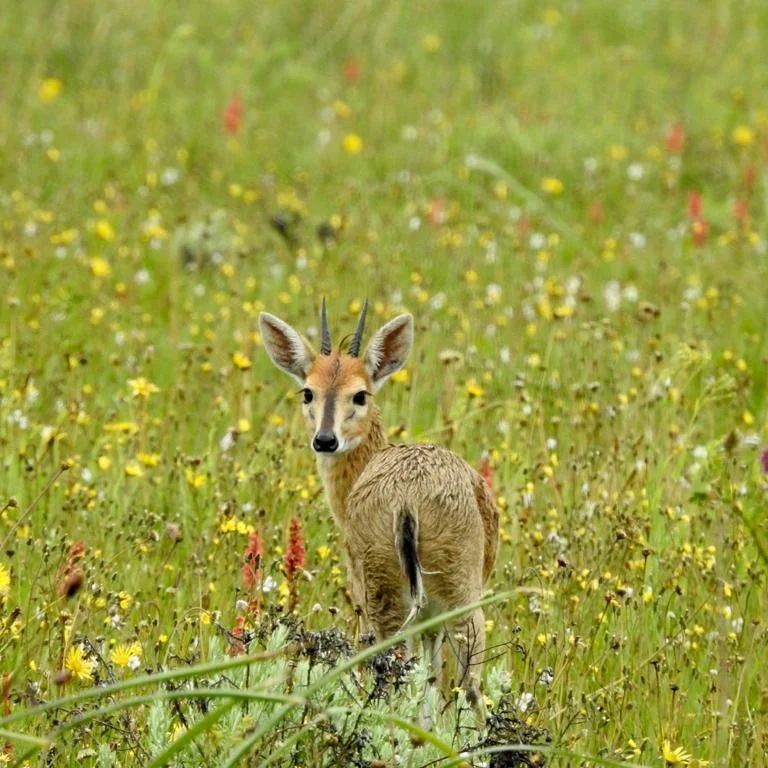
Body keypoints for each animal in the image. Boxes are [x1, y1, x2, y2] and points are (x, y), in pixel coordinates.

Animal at [260, 298, 498, 708]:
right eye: (308, 392)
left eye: (360, 394)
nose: (325, 440)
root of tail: (407, 500)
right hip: (449, 601)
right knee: (464, 685)